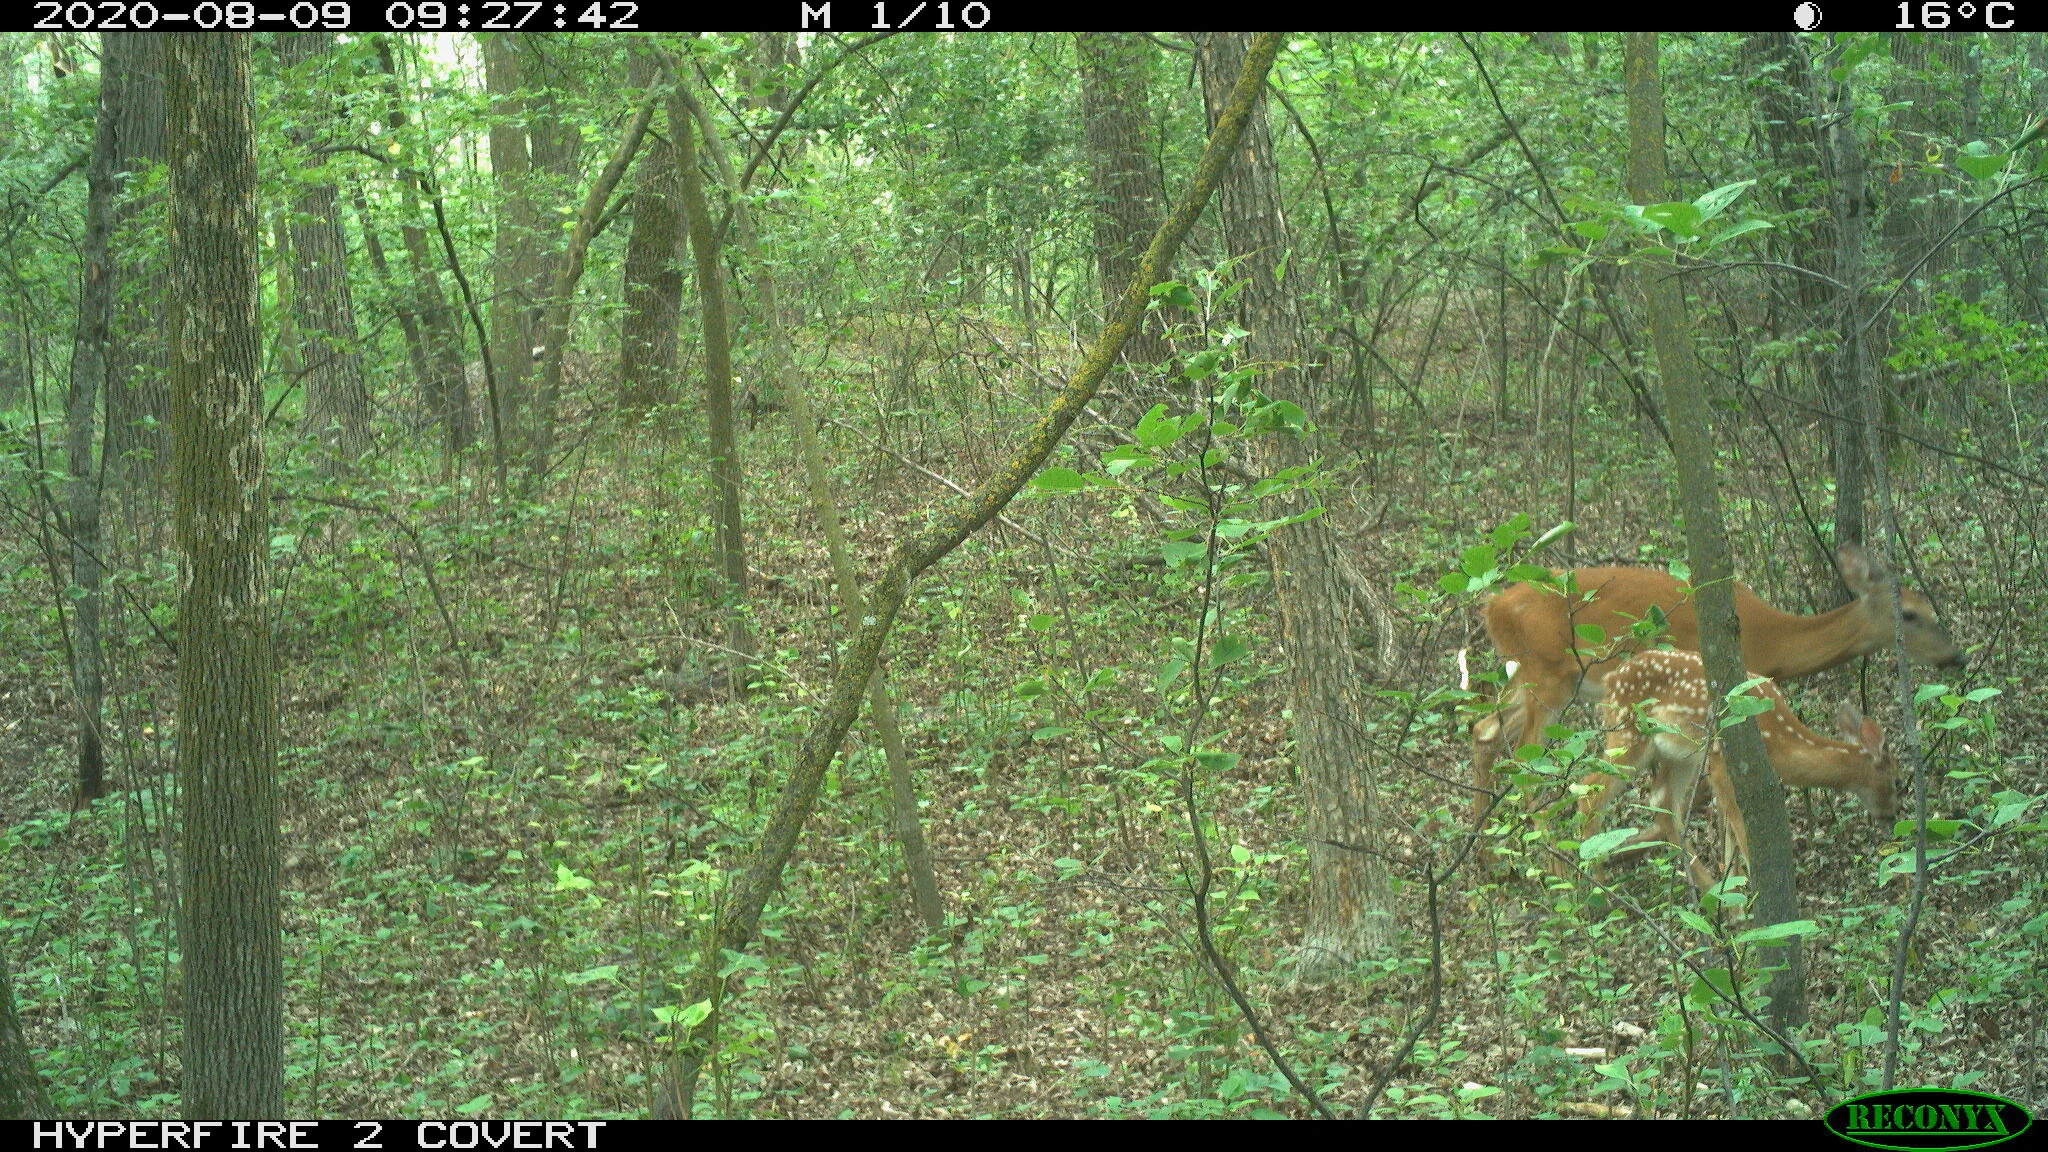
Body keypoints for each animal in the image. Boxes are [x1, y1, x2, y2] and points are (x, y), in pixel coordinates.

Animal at [1467, 544, 1964, 823]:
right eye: (1911, 614)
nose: (1956, 657)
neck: (1772, 639)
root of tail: (1493, 605)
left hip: (1534, 675)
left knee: (1483, 729)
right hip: (1549, 675)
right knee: (1522, 760)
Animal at [1576, 648, 1900, 888]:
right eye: (1897, 780)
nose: (1891, 816)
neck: (1779, 743)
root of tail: (1610, 678)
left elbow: (1728, 829)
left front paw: (1734, 893)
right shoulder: (1722, 763)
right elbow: (1741, 831)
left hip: (1680, 754)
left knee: (1661, 802)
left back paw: (1712, 894)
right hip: (1628, 734)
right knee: (1590, 790)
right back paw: (1598, 888)